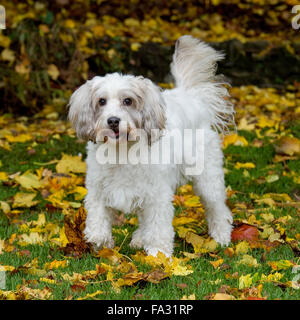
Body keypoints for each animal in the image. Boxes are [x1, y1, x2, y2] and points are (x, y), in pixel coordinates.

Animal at [68, 35, 234, 258]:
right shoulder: (98, 190)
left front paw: (158, 255)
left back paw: (221, 237)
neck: (122, 151)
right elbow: (98, 220)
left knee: (218, 209)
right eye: (101, 101)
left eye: (127, 100)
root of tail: (189, 97)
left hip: (208, 179)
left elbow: (158, 227)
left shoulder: (158, 195)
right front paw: (99, 242)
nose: (113, 121)